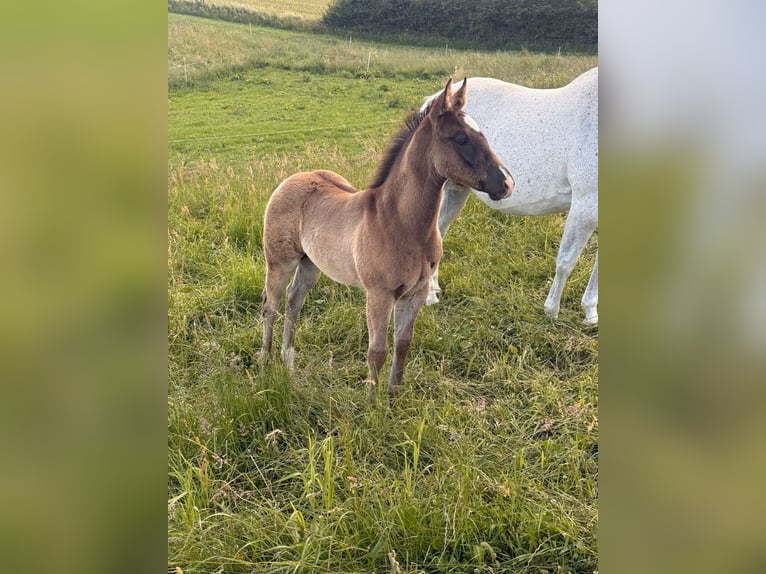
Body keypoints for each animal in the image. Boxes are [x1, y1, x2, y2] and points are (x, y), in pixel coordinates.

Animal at [261, 78, 514, 404]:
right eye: (460, 138)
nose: (506, 183)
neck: (400, 224)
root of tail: (290, 179)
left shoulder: (415, 293)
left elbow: (402, 345)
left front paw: (394, 399)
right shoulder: (378, 295)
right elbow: (376, 351)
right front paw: (371, 406)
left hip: (310, 263)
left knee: (294, 302)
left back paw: (288, 359)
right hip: (280, 261)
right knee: (271, 304)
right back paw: (266, 361)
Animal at [423, 68, 598, 325]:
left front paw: (590, 313)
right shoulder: (585, 206)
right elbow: (566, 261)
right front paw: (551, 312)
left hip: (456, 190)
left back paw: (433, 291)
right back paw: (427, 297)